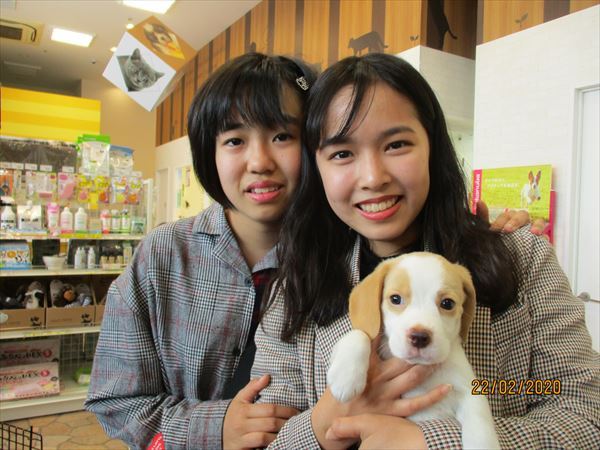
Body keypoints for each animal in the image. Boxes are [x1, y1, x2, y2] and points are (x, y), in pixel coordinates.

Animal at [327, 252, 500, 449]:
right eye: (395, 299)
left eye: (447, 303)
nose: (419, 337)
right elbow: (360, 334)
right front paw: (346, 378)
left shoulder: (468, 391)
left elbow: (480, 424)